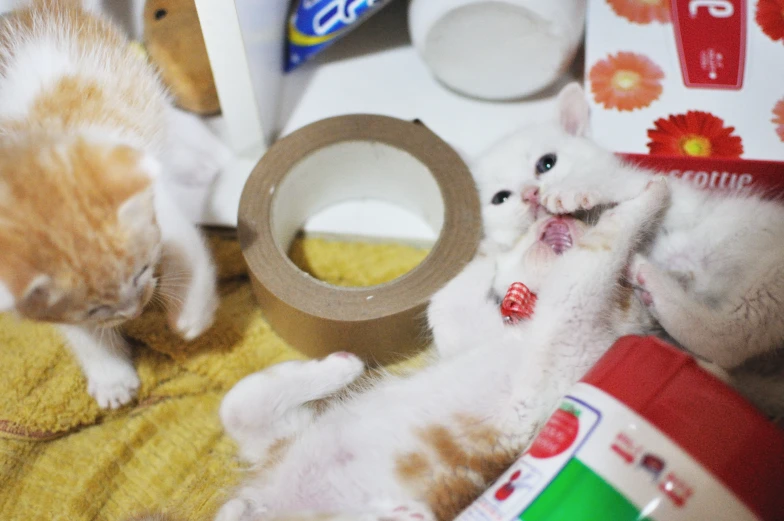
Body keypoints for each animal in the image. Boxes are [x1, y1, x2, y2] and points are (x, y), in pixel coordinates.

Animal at [0, 0, 217, 406]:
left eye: (142, 269)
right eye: (94, 309)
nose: (136, 310)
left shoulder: (143, 183)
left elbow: (186, 244)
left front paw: (192, 312)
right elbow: (76, 330)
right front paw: (110, 374)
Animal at [213, 178, 668, 520]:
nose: (557, 215)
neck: (525, 323)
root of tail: (264, 502)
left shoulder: (575, 318)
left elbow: (609, 238)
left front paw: (653, 194)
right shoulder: (468, 328)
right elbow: (444, 302)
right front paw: (493, 244)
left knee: (241, 410)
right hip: (282, 437)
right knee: (241, 405)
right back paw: (341, 367)